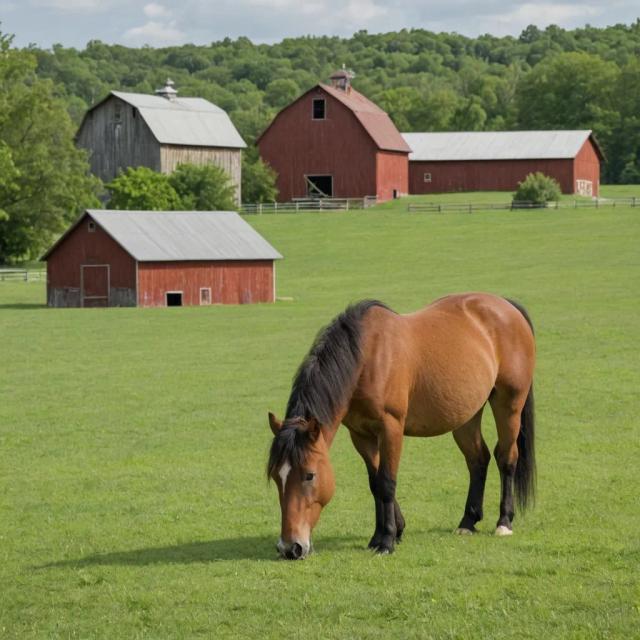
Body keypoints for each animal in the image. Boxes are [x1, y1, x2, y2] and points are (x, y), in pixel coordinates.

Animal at [267, 293, 536, 560]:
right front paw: (386, 533)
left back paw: (504, 522)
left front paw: (387, 540)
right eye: (276, 476)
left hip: (509, 405)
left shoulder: (391, 428)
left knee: (506, 458)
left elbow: (387, 482)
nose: (290, 547)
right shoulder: (361, 435)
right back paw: (468, 522)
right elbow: (375, 483)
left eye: (309, 475)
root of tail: (506, 305)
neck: (367, 358)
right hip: (466, 416)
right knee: (478, 459)